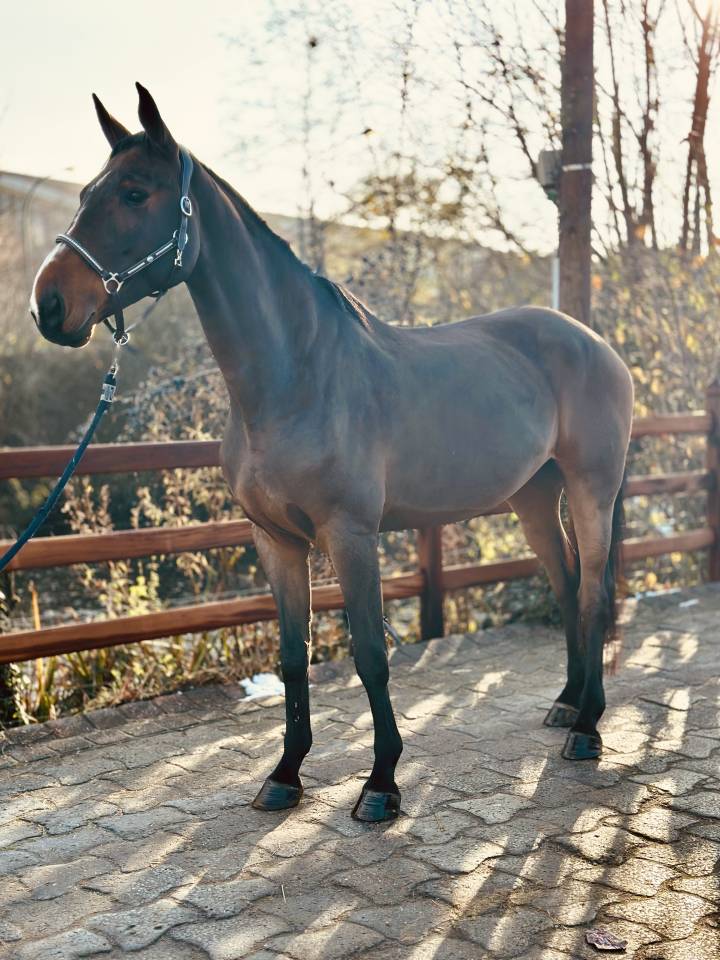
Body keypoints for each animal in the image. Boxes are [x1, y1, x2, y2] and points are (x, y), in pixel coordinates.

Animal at [31, 84, 633, 822]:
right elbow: (294, 657)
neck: (296, 375)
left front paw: (381, 784)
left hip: (591, 489)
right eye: (87, 192)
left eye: (135, 193)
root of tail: (592, 340)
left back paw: (588, 729)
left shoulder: (351, 536)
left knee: (593, 594)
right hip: (534, 497)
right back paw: (568, 704)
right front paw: (285, 775)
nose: (48, 305)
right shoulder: (275, 541)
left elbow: (370, 653)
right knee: (569, 582)